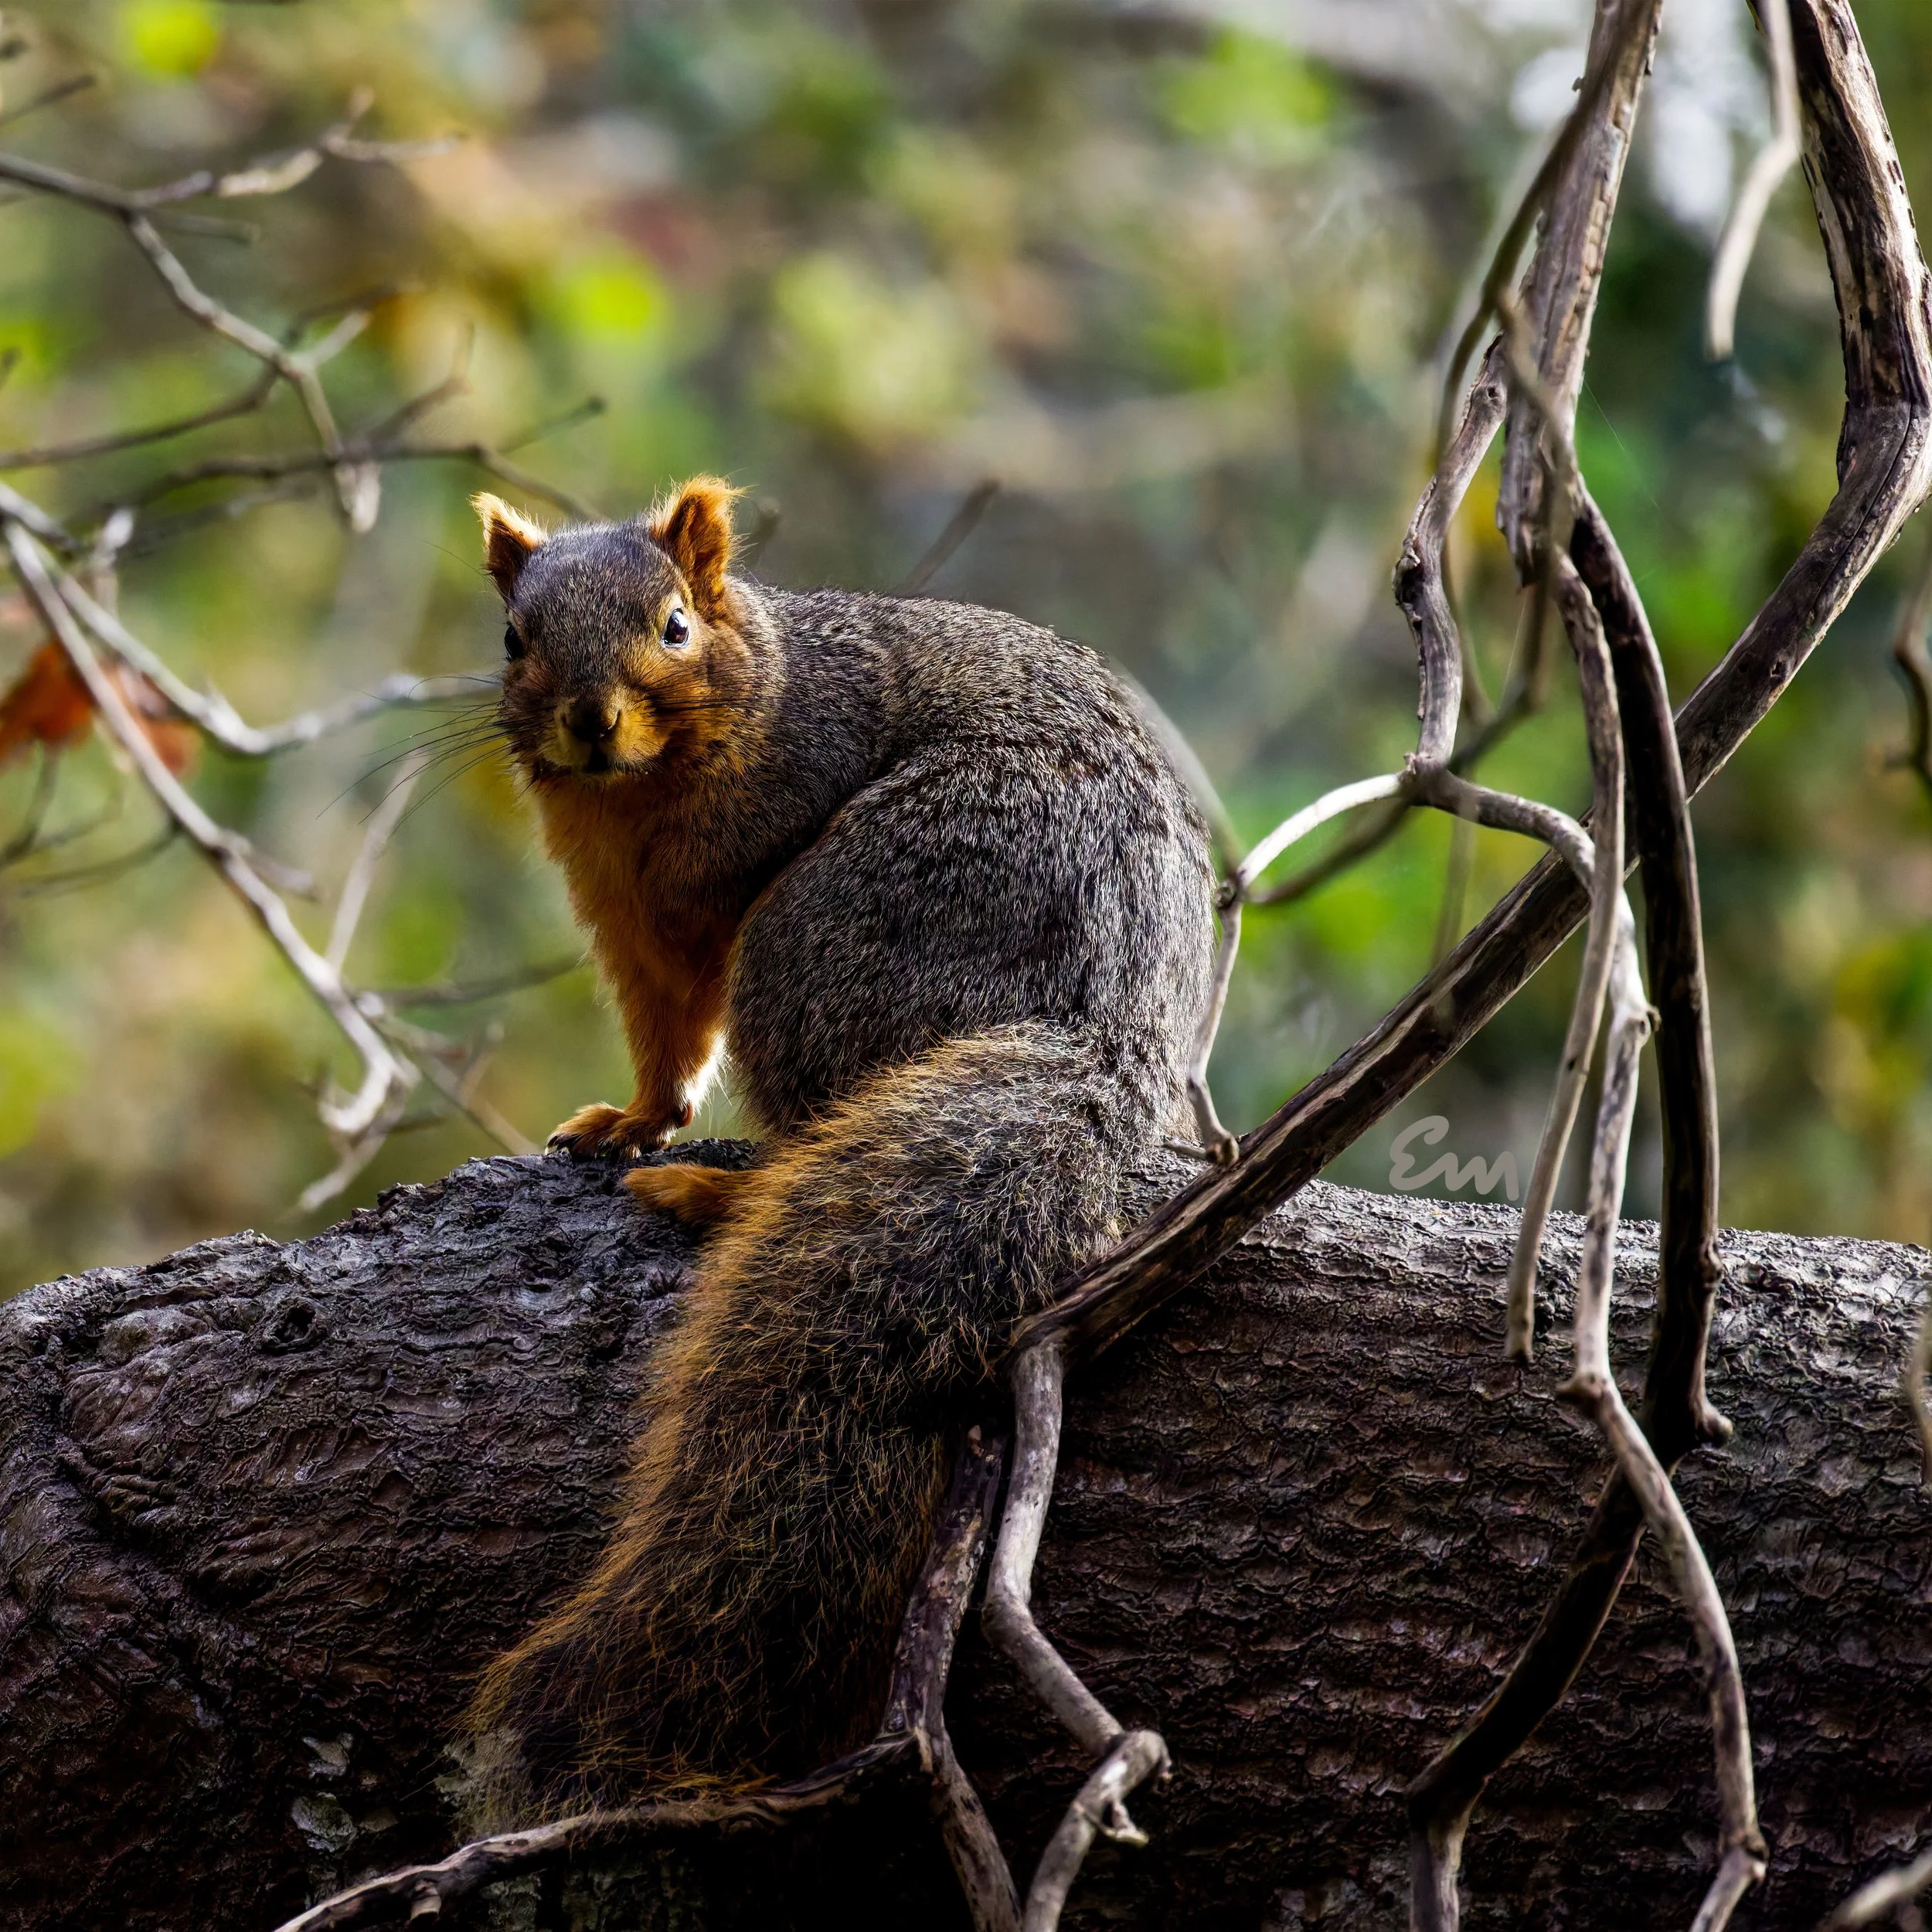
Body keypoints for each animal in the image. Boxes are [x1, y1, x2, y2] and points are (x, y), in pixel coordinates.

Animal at [465, 477, 1214, 1806]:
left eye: (674, 625)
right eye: (514, 639)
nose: (589, 723)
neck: (639, 796)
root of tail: (1114, 1025)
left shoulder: (758, 831)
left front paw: (666, 1144)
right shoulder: (624, 918)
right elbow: (664, 1040)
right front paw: (632, 1118)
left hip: (829, 935)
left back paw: (728, 1197)